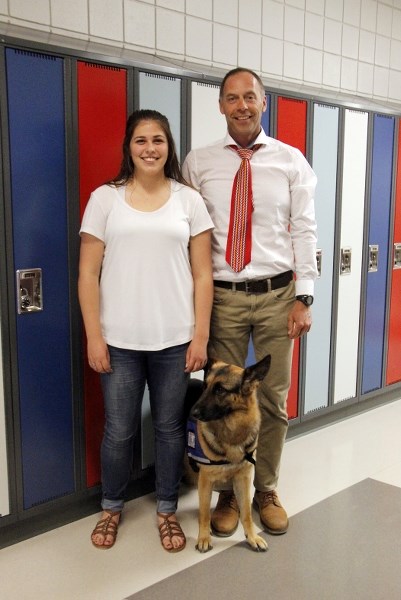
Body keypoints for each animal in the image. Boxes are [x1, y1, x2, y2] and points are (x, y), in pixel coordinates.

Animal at [186, 356, 270, 552]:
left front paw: (252, 537)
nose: (193, 413)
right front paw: (203, 537)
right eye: (205, 386)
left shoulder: (243, 478)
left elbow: (246, 512)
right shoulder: (205, 480)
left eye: (220, 390)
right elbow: (204, 512)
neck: (231, 432)